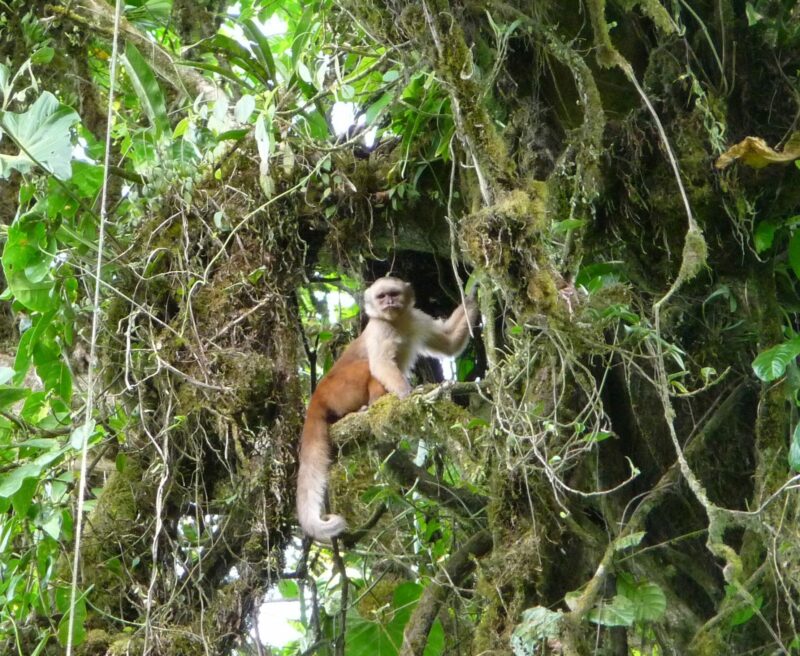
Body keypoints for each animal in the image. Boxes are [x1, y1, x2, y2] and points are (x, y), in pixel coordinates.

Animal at [296, 276, 478, 541]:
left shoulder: (416, 317)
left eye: (393, 294)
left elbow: (449, 342)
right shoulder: (379, 330)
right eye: (382, 297)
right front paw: (407, 395)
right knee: (368, 366)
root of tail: (317, 395)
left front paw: (473, 297)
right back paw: (370, 406)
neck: (396, 322)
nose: (389, 303)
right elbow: (381, 364)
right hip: (339, 389)